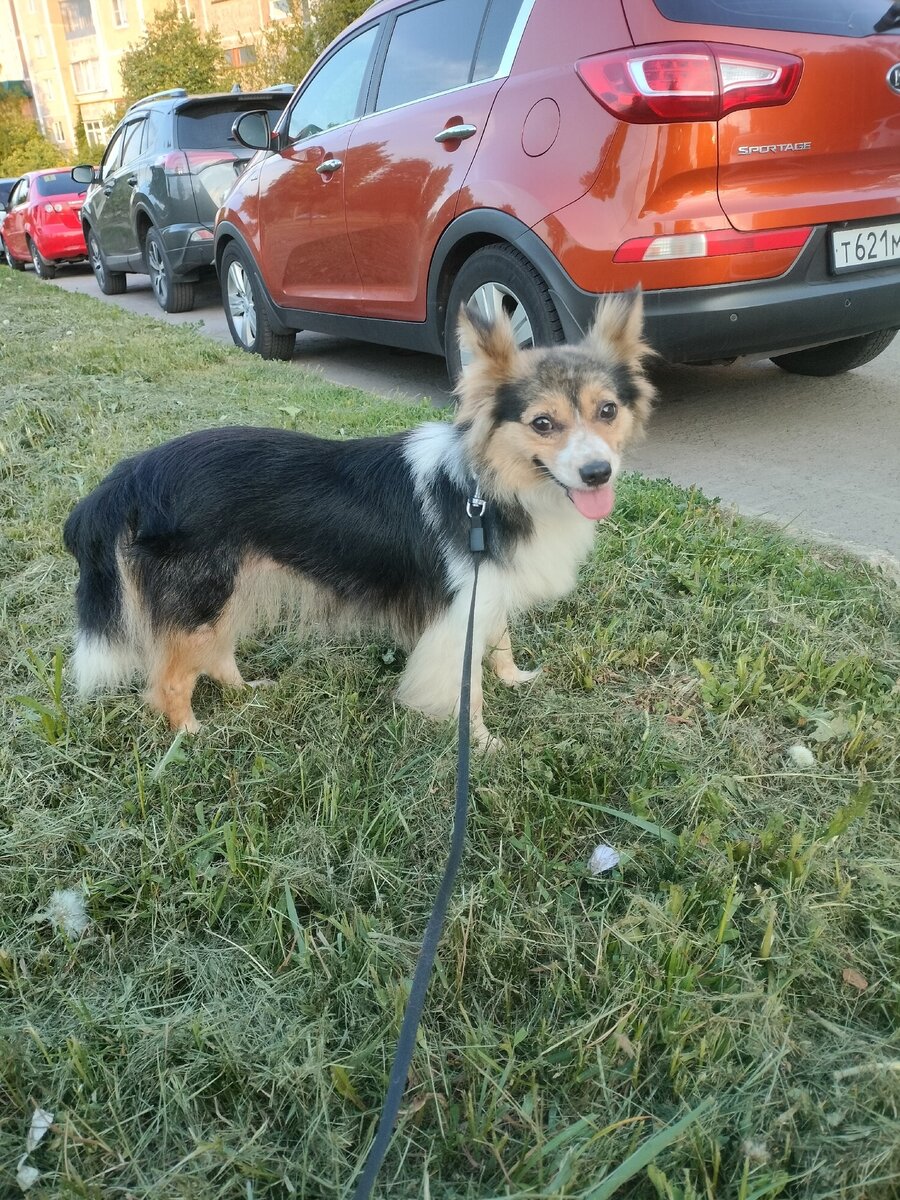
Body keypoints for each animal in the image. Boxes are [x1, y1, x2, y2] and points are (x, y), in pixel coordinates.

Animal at [63, 290, 657, 744]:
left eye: (608, 411)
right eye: (542, 423)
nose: (597, 473)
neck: (488, 486)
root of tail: (134, 473)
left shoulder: (486, 591)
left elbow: (501, 641)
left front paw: (514, 678)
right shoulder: (455, 613)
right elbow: (468, 692)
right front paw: (486, 745)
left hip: (230, 587)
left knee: (215, 651)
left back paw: (246, 692)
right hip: (201, 595)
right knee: (169, 679)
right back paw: (192, 737)